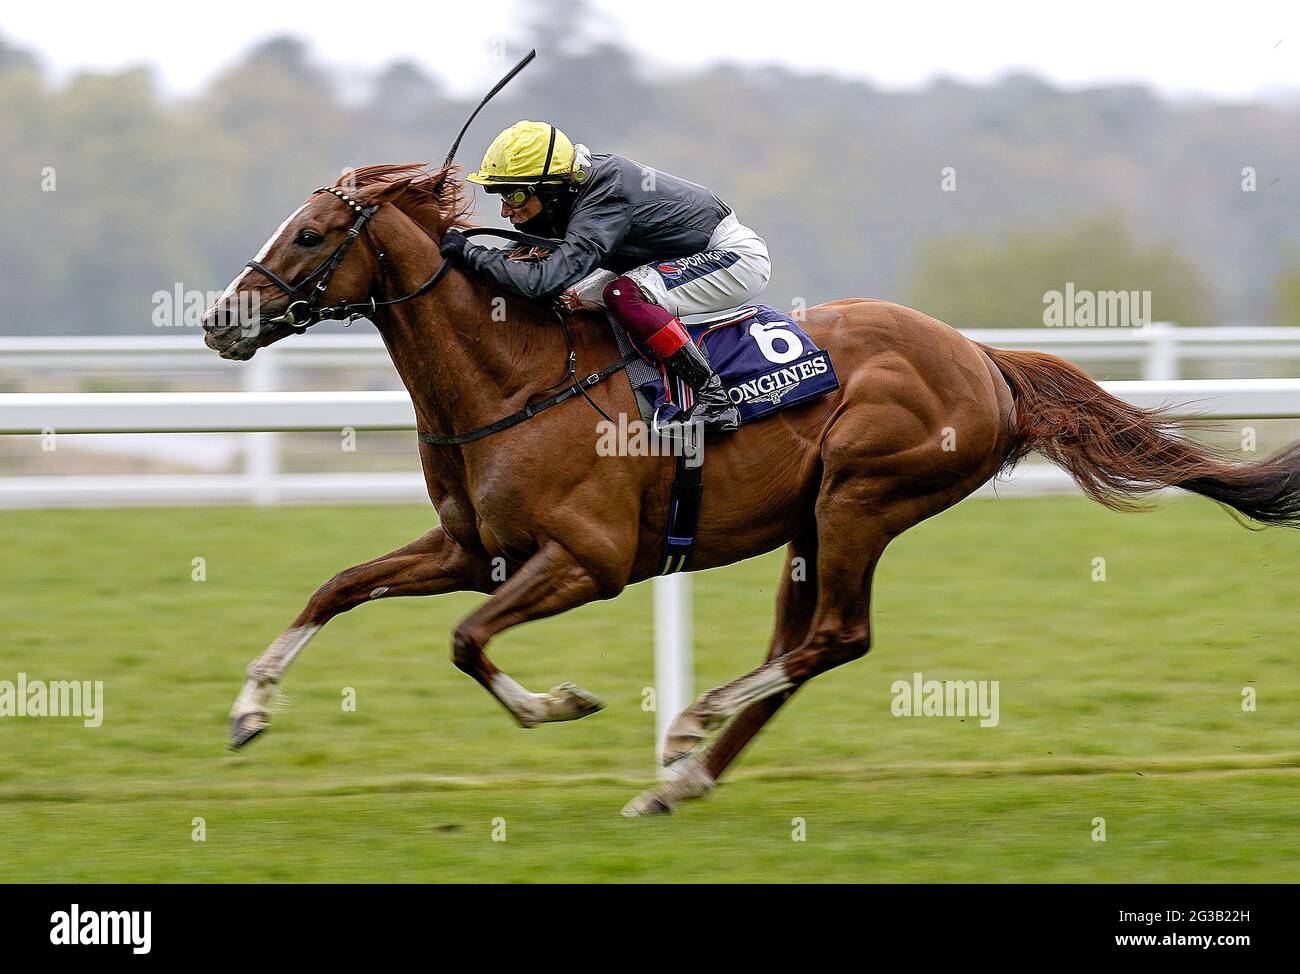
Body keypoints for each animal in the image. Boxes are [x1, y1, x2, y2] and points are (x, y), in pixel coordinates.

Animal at [200, 165, 1300, 811]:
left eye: (310, 236)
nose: (220, 319)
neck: (512, 378)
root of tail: (982, 358)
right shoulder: (475, 549)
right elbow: (338, 585)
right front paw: (250, 709)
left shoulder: (589, 560)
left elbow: (467, 642)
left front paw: (560, 702)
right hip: (812, 521)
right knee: (800, 647)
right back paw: (682, 779)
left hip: (862, 496)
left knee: (837, 637)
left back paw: (687, 733)